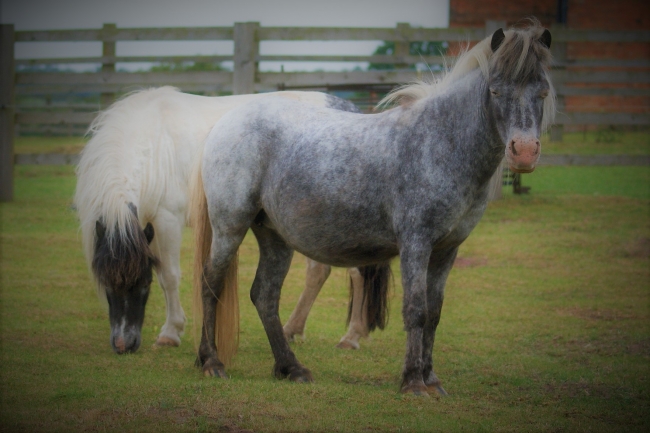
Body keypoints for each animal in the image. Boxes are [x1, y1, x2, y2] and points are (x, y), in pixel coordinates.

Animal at [73, 88, 388, 354]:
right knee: (318, 271)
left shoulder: (166, 219)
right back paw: (292, 329)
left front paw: (170, 333)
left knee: (357, 274)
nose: (123, 345)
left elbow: (169, 276)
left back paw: (351, 337)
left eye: (142, 282)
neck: (151, 145)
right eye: (104, 280)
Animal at [191, 22, 552, 394]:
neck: (439, 142)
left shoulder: (446, 250)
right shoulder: (415, 243)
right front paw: (413, 382)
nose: (524, 152)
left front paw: (432, 380)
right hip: (230, 227)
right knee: (209, 282)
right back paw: (212, 362)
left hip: (274, 236)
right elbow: (416, 310)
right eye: (495, 90)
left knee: (264, 295)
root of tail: (226, 123)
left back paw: (291, 368)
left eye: (543, 92)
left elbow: (434, 313)